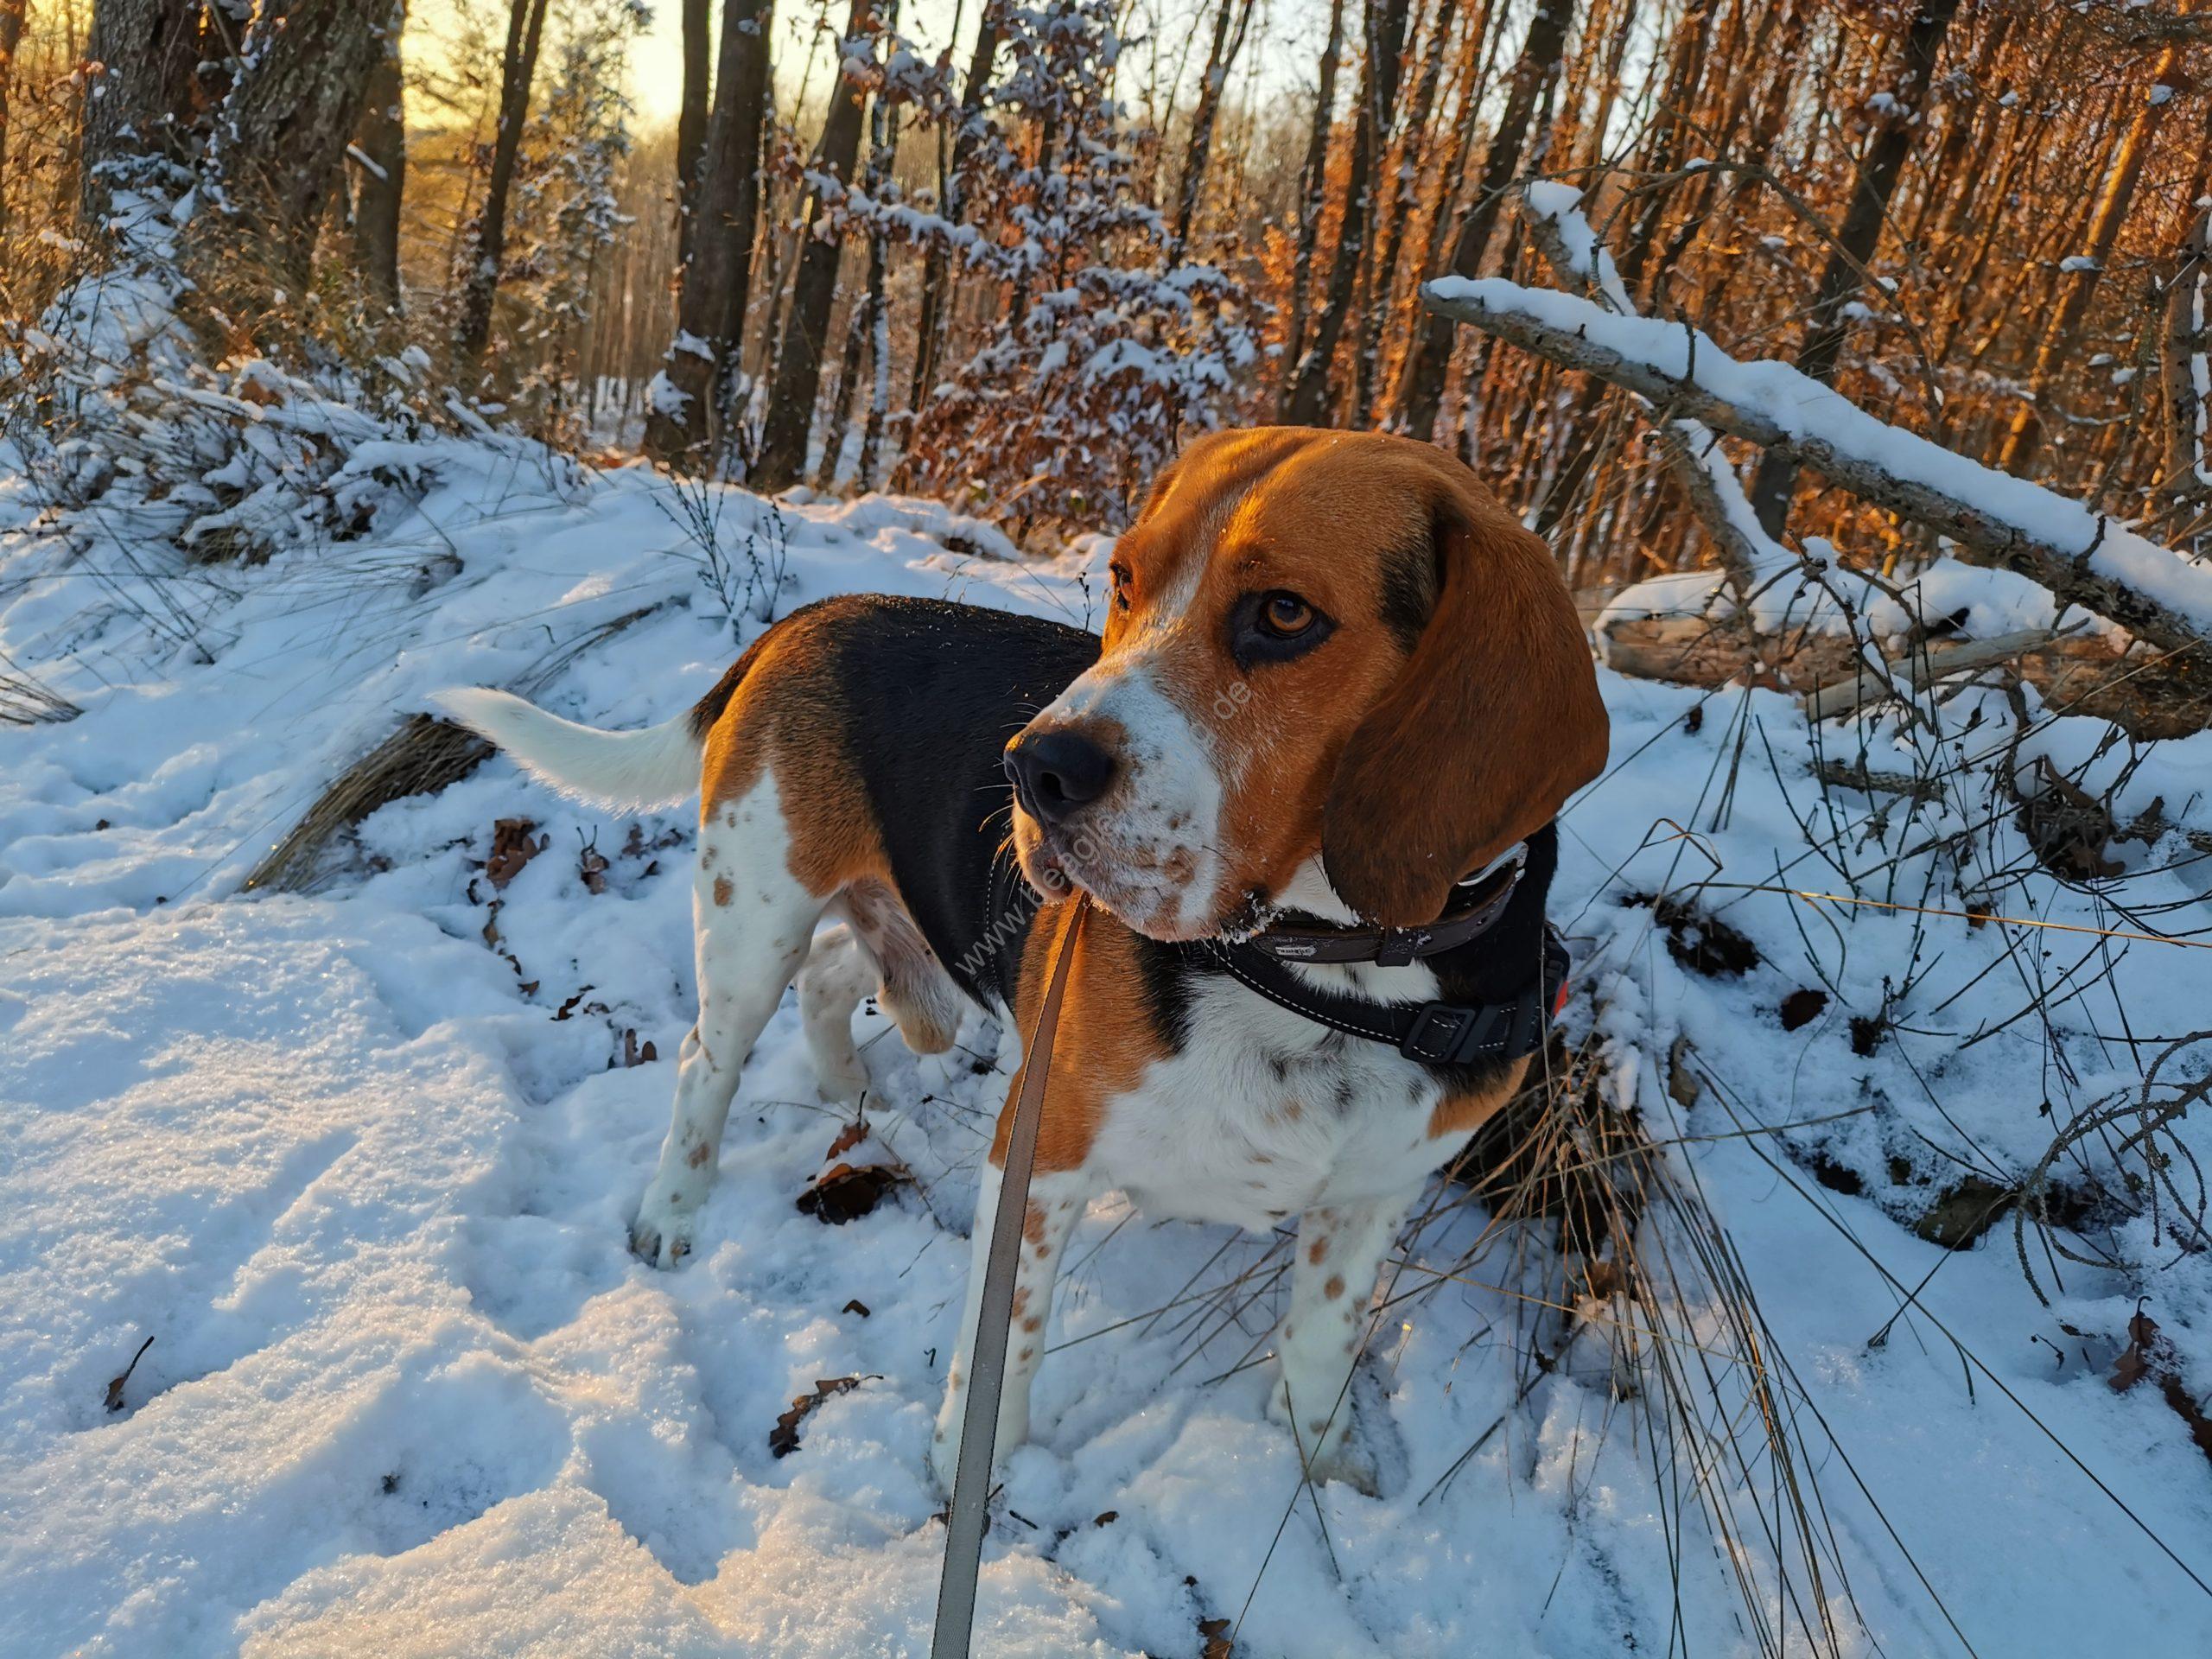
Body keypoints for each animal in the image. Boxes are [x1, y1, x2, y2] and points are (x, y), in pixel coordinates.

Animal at [435, 429, 1610, 1495]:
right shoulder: (1040, 1158)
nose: (1032, 770)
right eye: (1125, 580)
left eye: (1284, 615)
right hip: (751, 916)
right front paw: (967, 1472)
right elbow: (1009, 1341)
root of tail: (811, 617)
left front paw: (1327, 1478)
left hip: (908, 941)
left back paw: (852, 1089)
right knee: (705, 1063)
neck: (1327, 976)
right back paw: (675, 1211)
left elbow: (1318, 1350)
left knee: (836, 974)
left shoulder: (1367, 1202)